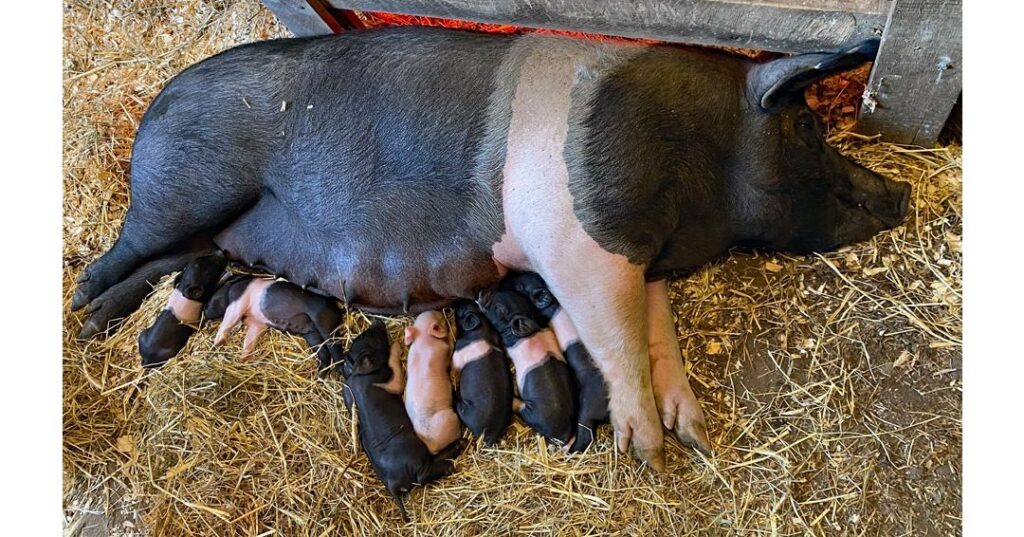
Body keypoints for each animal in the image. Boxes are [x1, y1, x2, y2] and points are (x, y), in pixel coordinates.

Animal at [209, 276, 344, 370]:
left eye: (215, 294)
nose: (206, 311)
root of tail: (338, 309)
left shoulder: (238, 301)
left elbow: (228, 322)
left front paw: (216, 343)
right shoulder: (257, 323)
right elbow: (249, 340)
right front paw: (242, 359)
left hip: (324, 322)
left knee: (337, 354)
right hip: (312, 334)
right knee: (324, 355)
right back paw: (319, 376)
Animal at [403, 311, 462, 454]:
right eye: (441, 319)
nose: (441, 311)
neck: (423, 338)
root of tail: (432, 446)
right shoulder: (445, 349)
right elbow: (451, 343)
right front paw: (453, 326)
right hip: (450, 419)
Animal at [452, 300, 514, 444]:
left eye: (461, 310)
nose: (459, 301)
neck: (482, 330)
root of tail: (490, 434)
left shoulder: (457, 354)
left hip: (466, 410)